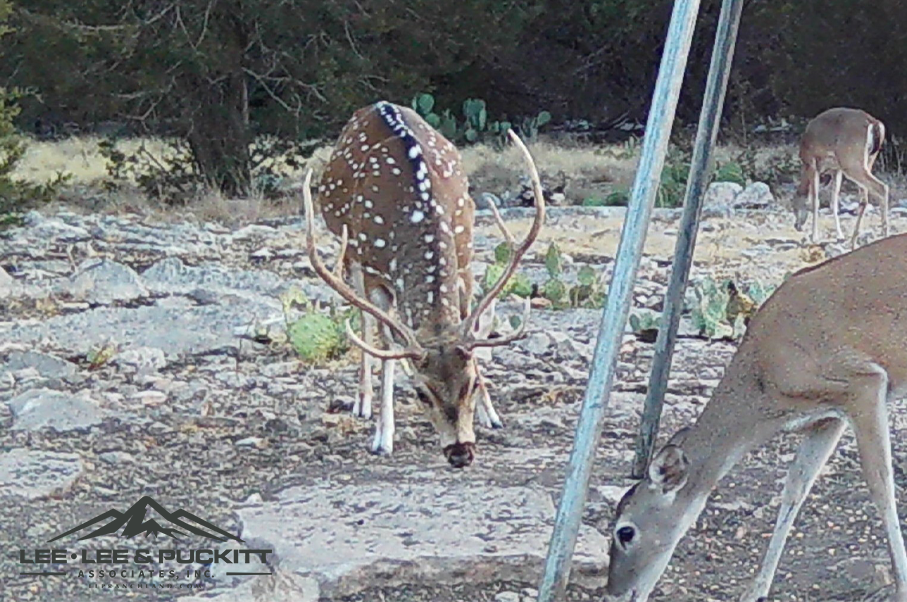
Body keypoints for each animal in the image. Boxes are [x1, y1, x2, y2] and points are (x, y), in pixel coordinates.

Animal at [306, 101, 548, 466]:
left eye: (471, 383)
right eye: (421, 392)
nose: (460, 452)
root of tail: (376, 105)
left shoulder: (464, 257)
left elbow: (469, 324)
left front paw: (491, 414)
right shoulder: (375, 272)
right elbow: (388, 346)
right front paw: (383, 437)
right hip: (349, 254)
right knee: (363, 319)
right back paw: (362, 403)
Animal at [608, 231, 907, 600]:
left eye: (625, 532)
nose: (613, 592)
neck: (764, 382)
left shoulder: (863, 382)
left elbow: (880, 486)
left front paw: (901, 585)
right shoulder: (827, 415)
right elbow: (795, 487)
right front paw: (755, 589)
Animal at [792, 106, 892, 247]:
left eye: (793, 206)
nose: (796, 226)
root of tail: (874, 122)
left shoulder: (812, 163)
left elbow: (815, 201)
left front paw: (814, 237)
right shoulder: (836, 170)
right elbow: (833, 202)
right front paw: (839, 235)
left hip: (851, 161)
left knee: (881, 187)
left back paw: (884, 234)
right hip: (868, 160)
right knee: (864, 199)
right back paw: (853, 240)